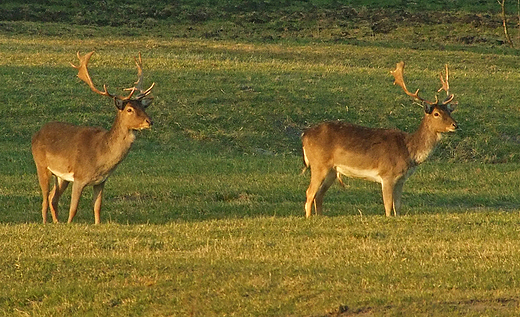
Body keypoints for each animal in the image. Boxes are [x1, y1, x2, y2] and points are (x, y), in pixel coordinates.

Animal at [31, 51, 154, 222]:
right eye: (129, 109)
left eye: (143, 107)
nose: (149, 121)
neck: (100, 157)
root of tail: (36, 134)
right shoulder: (79, 177)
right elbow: (73, 209)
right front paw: (69, 224)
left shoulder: (101, 181)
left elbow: (97, 207)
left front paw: (97, 224)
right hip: (41, 165)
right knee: (44, 198)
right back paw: (45, 223)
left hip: (61, 176)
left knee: (52, 198)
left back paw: (56, 222)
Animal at [302, 60, 458, 216]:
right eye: (436, 113)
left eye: (449, 111)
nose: (455, 125)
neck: (409, 152)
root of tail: (305, 135)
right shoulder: (387, 174)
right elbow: (388, 206)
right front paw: (388, 218)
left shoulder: (401, 180)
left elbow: (398, 206)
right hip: (319, 164)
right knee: (309, 193)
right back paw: (309, 218)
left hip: (332, 170)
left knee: (319, 195)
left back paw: (320, 216)